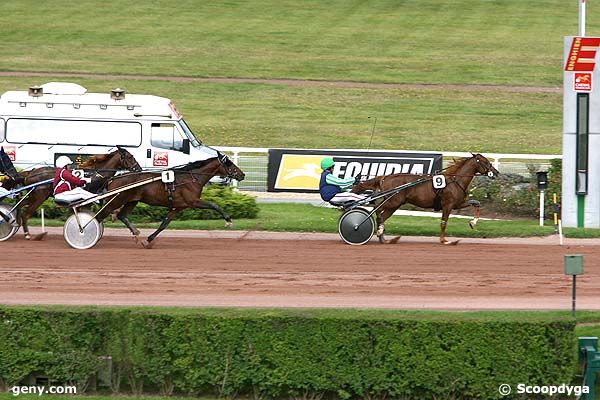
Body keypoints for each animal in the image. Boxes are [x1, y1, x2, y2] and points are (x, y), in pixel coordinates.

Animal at [4, 148, 141, 239]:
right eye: (130, 156)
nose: (139, 169)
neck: (96, 174)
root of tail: (30, 172)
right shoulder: (86, 200)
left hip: (34, 197)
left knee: (20, 205)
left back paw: (14, 221)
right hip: (39, 197)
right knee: (26, 214)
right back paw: (27, 234)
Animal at [95, 152, 244, 248]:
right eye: (230, 164)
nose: (242, 174)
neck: (192, 178)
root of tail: (113, 178)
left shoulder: (178, 206)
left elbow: (164, 224)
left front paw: (148, 240)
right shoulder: (193, 201)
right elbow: (214, 205)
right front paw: (228, 220)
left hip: (132, 201)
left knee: (122, 215)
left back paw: (136, 233)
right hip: (117, 200)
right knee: (100, 216)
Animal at [350, 153, 500, 245]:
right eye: (486, 162)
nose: (496, 173)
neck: (455, 180)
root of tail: (385, 177)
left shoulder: (457, 204)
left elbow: (477, 203)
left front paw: (472, 223)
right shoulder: (448, 205)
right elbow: (443, 223)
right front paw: (444, 240)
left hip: (395, 204)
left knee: (382, 215)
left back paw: (383, 237)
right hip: (393, 201)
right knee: (377, 210)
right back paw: (376, 230)